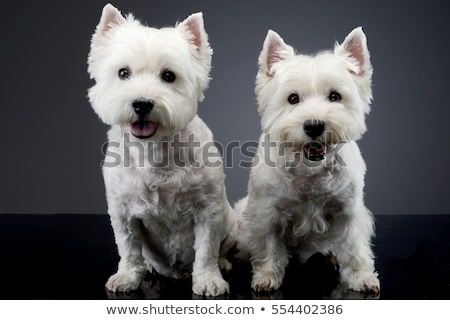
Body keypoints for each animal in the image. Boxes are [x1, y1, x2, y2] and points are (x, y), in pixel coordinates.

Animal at [86, 3, 237, 296]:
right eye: (123, 73)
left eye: (169, 76)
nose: (142, 103)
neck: (153, 151)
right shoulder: (122, 211)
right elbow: (129, 248)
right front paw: (127, 277)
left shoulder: (209, 209)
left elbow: (207, 249)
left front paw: (209, 280)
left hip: (233, 221)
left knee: (223, 246)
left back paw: (223, 263)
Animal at [236, 27, 380, 296]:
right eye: (293, 98)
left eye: (335, 96)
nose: (314, 126)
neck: (310, 171)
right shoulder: (267, 211)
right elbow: (269, 246)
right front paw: (266, 277)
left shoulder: (349, 211)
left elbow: (354, 248)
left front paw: (362, 278)